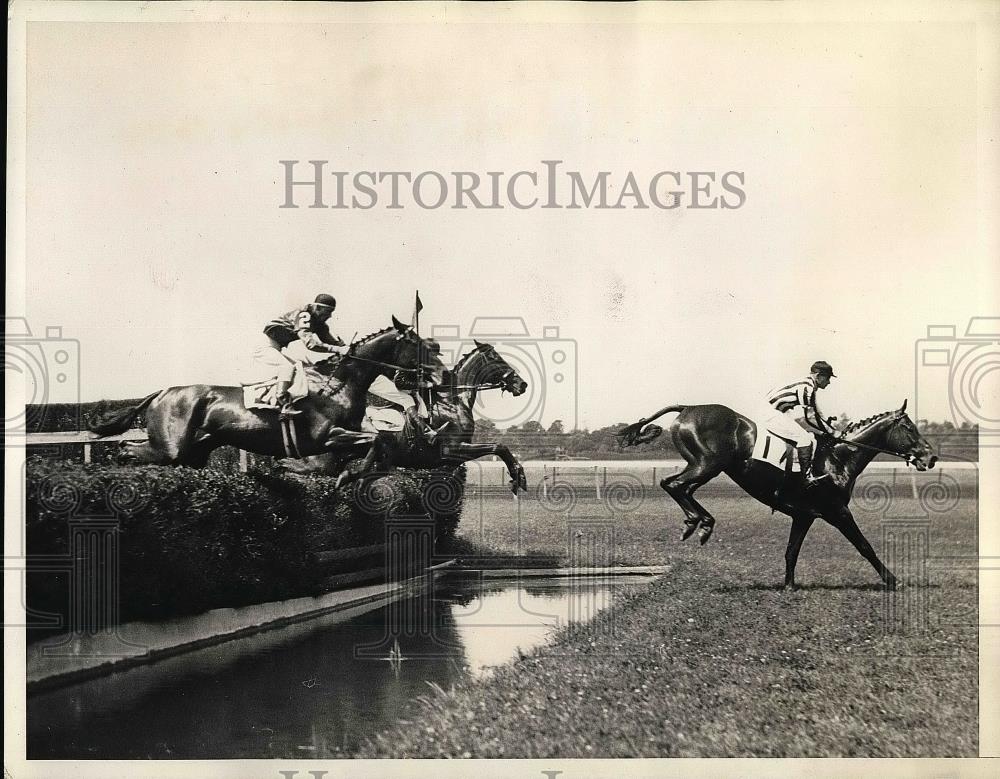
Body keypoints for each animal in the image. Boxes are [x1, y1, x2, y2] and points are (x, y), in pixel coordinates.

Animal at [88, 318, 444, 470]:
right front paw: (345, 476)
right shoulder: (325, 438)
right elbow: (370, 443)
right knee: (126, 449)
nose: (440, 373)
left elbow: (377, 445)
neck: (338, 386)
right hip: (172, 446)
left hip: (196, 451)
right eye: (419, 343)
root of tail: (163, 393)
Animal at [278, 340, 532, 494]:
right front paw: (518, 478)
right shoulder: (451, 449)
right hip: (318, 462)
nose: (522, 384)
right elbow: (498, 446)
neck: (452, 401)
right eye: (497, 358)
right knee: (287, 467)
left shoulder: (448, 458)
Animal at [616, 402, 936, 592]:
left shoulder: (804, 515)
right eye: (909, 427)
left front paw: (789, 586)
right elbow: (865, 546)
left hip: (704, 466)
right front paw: (893, 580)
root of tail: (690, 407)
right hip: (708, 464)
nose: (930, 457)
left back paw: (697, 522)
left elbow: (791, 551)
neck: (839, 458)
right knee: (673, 484)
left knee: (680, 487)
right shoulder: (837, 511)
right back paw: (701, 522)